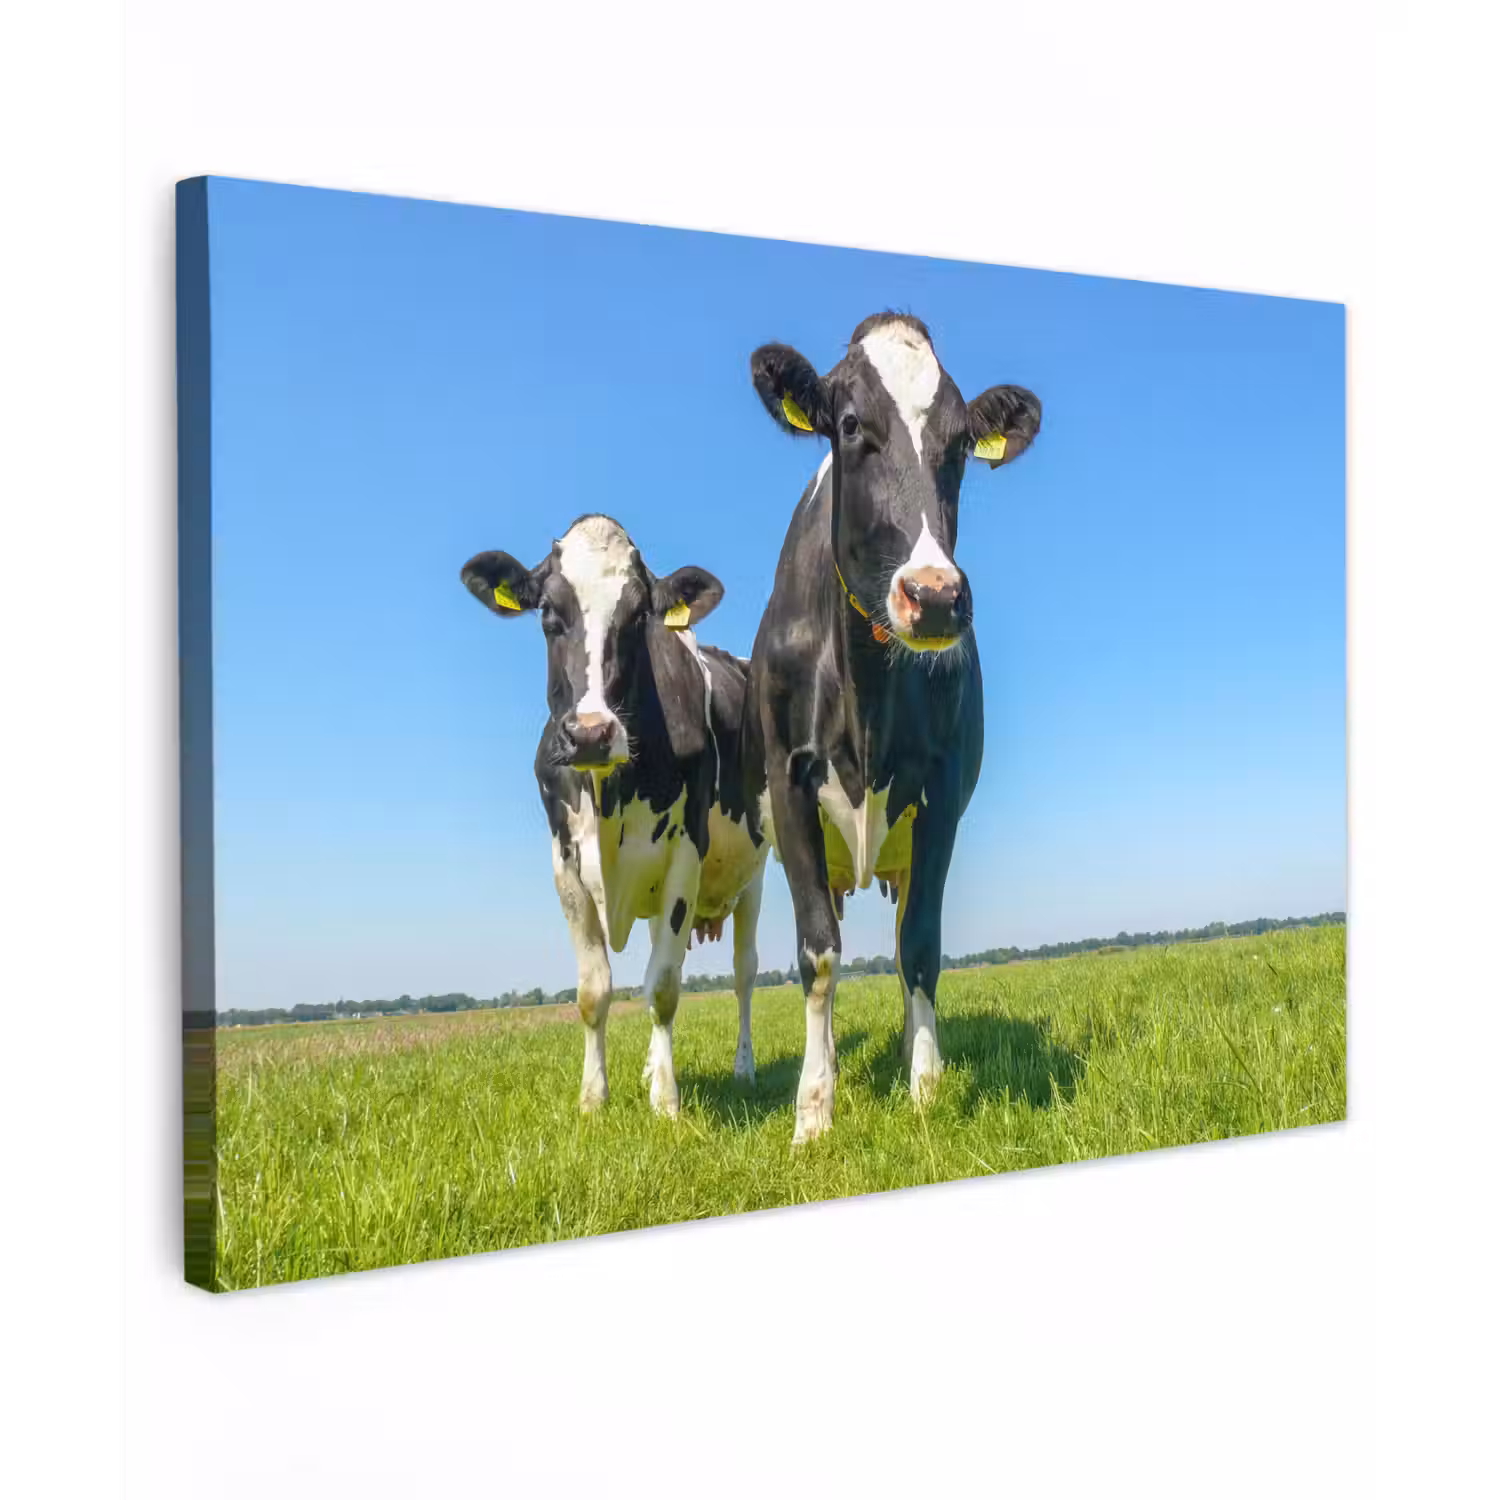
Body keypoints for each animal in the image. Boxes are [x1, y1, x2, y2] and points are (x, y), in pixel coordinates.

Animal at [460, 514, 769, 1117]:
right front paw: (593, 1097)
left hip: (757, 875)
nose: (590, 733)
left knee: (744, 974)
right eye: (548, 614)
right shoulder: (565, 867)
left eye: (638, 616)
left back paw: (743, 1068)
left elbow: (665, 987)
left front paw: (666, 1101)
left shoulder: (684, 860)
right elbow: (594, 991)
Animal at [742, 312, 1042, 1144]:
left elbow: (921, 947)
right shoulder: (789, 784)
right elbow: (817, 952)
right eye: (850, 426)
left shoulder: (939, 794)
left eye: (962, 443)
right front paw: (813, 1110)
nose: (934, 596)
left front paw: (927, 1088)